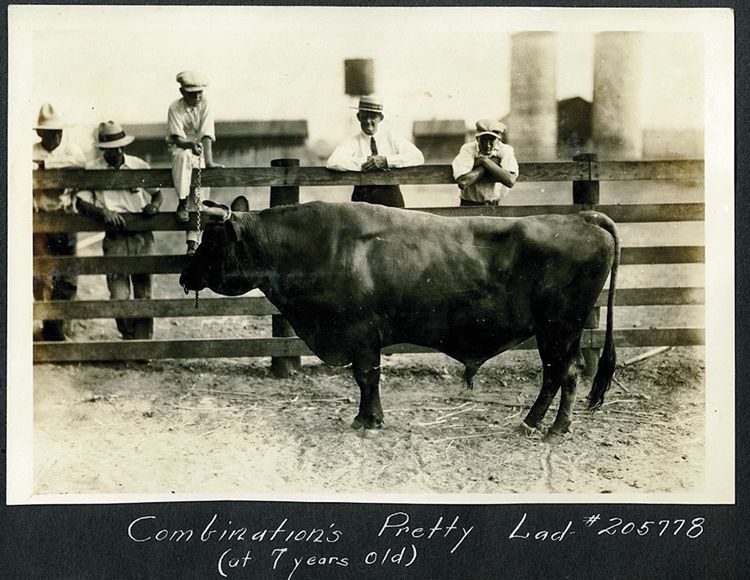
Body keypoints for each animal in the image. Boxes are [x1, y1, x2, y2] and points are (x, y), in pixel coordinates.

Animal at [179, 201, 620, 440]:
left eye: (212, 241)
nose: (185, 276)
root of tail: (582, 218)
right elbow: (369, 377)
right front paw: (372, 417)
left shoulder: (360, 334)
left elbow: (366, 377)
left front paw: (366, 419)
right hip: (557, 333)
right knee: (555, 376)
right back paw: (532, 424)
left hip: (559, 329)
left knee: (565, 374)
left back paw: (553, 429)